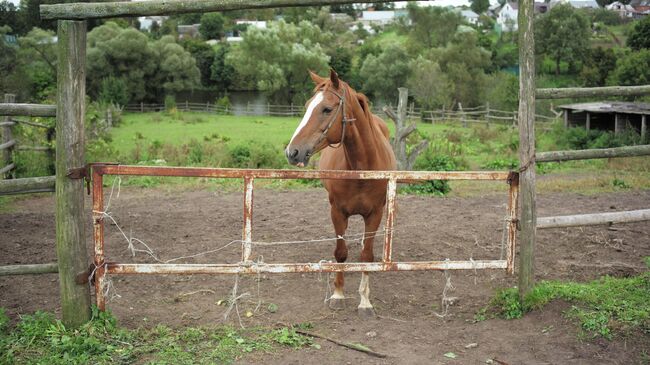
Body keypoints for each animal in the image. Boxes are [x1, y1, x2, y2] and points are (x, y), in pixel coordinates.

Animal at [284, 69, 394, 316]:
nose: (292, 152)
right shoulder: (337, 212)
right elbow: (341, 253)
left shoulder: (375, 213)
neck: (361, 168)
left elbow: (366, 255)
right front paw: (338, 295)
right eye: (307, 106)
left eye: (326, 109)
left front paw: (365, 301)